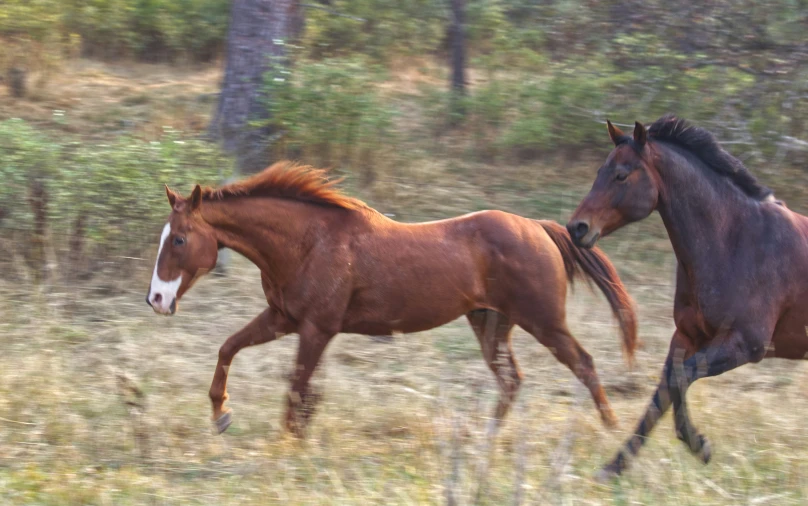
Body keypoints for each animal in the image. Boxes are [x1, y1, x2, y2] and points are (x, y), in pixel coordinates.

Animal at [147, 161, 636, 434]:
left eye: (180, 240)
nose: (155, 299)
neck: (309, 242)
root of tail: (538, 227)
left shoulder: (317, 329)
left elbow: (296, 393)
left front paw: (286, 445)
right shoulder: (282, 319)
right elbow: (228, 349)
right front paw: (221, 414)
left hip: (544, 322)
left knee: (583, 364)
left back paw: (613, 433)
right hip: (491, 324)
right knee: (512, 381)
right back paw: (487, 440)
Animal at [564, 114, 808, 478]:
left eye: (622, 174)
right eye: (599, 172)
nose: (577, 228)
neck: (735, 241)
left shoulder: (746, 345)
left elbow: (681, 379)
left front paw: (699, 445)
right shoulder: (686, 336)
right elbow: (662, 394)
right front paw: (613, 468)